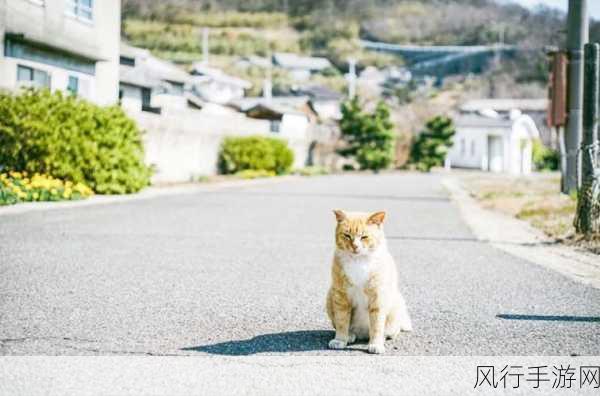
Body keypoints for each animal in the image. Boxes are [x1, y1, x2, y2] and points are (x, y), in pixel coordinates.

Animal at [326, 209, 410, 354]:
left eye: (364, 237)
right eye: (347, 235)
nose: (355, 246)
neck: (359, 261)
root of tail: (362, 335)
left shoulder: (378, 297)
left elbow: (376, 325)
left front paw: (376, 344)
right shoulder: (341, 296)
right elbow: (341, 321)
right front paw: (340, 340)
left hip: (397, 300)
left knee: (392, 329)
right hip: (330, 295)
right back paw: (350, 335)